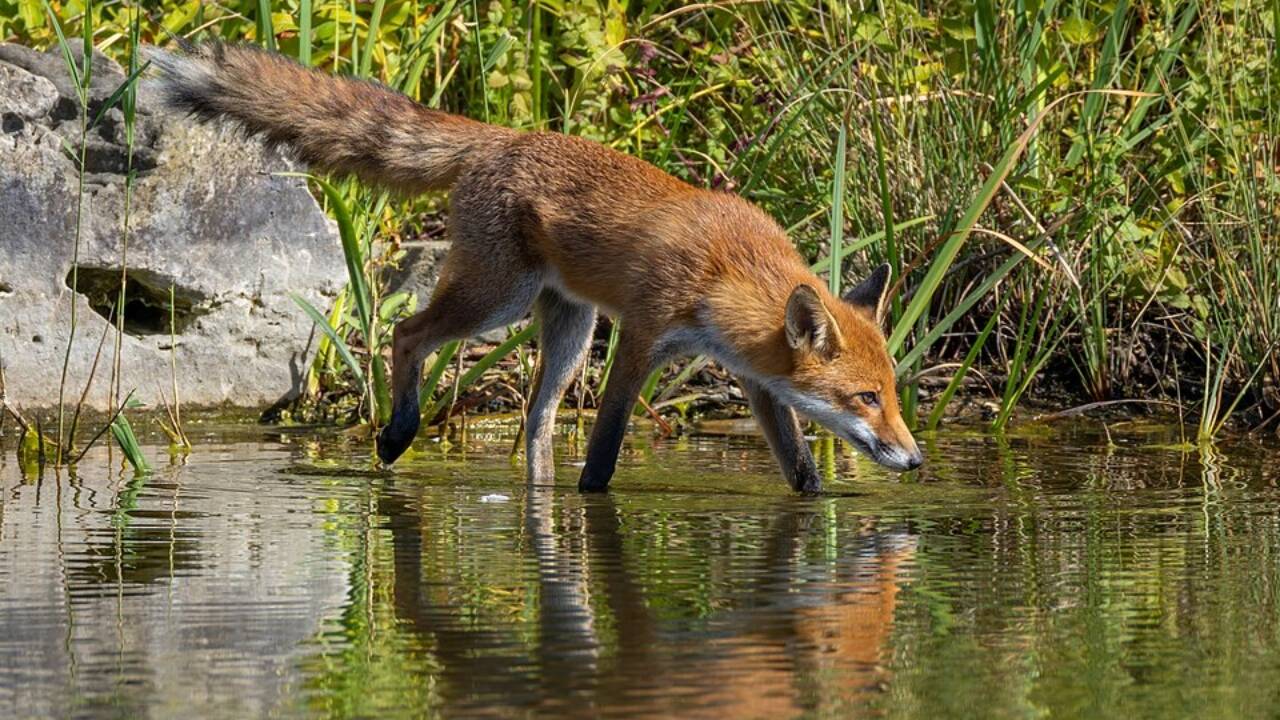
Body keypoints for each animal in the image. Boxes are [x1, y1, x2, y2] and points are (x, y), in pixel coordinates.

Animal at [148, 43, 923, 493]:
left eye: (892, 392)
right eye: (866, 398)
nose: (915, 460)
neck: (731, 271)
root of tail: (504, 135)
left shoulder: (757, 378)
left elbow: (800, 469)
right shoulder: (640, 338)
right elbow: (605, 450)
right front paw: (593, 501)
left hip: (569, 329)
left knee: (536, 420)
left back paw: (535, 492)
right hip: (499, 299)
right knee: (408, 334)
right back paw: (398, 433)